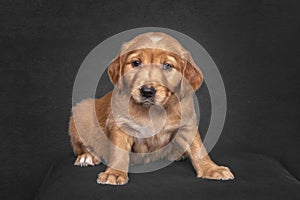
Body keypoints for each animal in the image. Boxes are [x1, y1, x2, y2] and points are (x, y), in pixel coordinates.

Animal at [68, 32, 234, 185]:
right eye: (136, 63)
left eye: (167, 65)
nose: (147, 91)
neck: (152, 111)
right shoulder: (120, 124)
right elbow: (119, 151)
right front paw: (114, 173)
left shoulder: (186, 124)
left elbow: (198, 148)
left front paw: (211, 169)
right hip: (80, 112)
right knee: (80, 145)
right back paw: (87, 156)